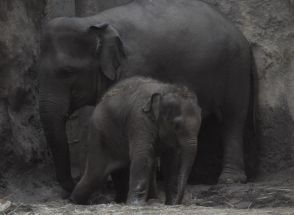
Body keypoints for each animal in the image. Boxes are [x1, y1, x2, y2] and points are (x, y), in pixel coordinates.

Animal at [38, 0, 255, 192]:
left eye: (67, 72)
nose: (74, 181)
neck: (94, 21)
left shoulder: (134, 65)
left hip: (237, 67)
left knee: (233, 119)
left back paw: (229, 180)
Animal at [70, 77, 201, 205]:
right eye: (176, 126)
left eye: (200, 125)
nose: (179, 202)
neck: (164, 89)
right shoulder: (139, 119)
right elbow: (142, 155)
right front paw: (135, 204)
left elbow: (171, 161)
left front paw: (171, 203)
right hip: (99, 134)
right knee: (96, 174)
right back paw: (76, 201)